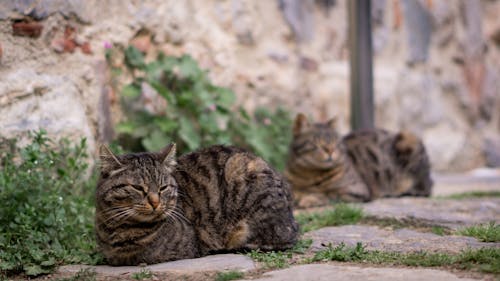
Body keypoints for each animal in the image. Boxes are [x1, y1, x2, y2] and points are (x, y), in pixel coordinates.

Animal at [286, 112, 434, 207]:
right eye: (316, 143)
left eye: (335, 142)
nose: (330, 150)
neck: (308, 175)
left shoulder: (356, 190)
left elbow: (329, 193)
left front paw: (309, 199)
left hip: (408, 140)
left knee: (423, 189)